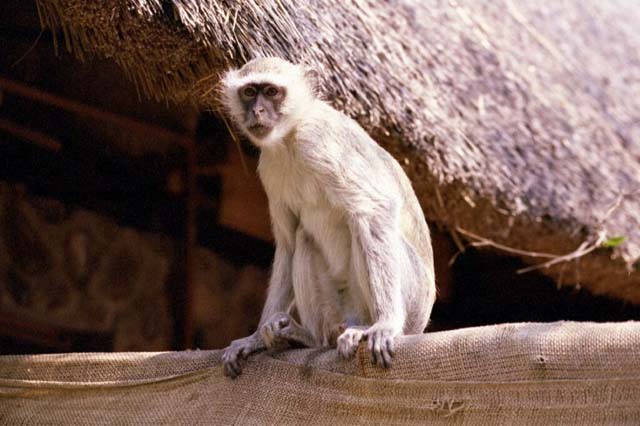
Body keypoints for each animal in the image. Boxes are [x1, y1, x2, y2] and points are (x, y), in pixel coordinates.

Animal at [219, 55, 436, 376]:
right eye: (249, 92)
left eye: (271, 92)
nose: (257, 110)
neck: (290, 138)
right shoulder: (269, 165)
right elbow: (288, 244)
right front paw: (255, 338)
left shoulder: (319, 141)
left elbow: (376, 208)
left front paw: (387, 324)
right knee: (302, 237)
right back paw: (307, 336)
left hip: (411, 298)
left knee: (362, 223)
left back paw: (365, 327)